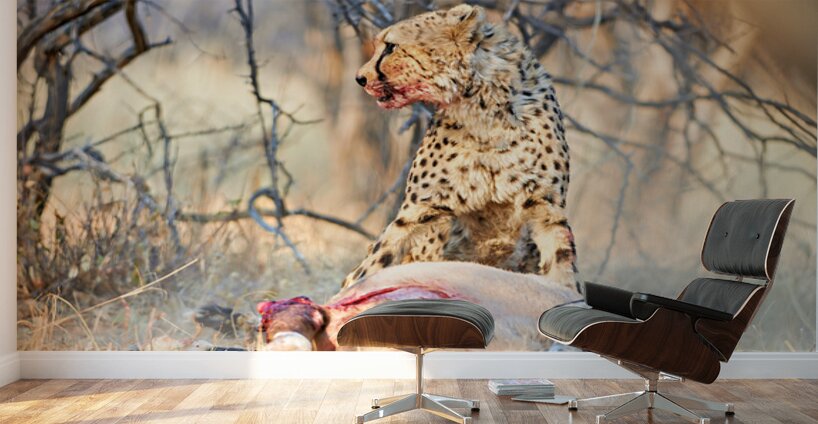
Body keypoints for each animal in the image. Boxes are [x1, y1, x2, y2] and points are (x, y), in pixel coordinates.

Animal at [341, 4, 578, 291]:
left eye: (391, 47)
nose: (360, 78)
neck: (484, 110)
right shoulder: (420, 206)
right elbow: (373, 262)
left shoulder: (546, 207)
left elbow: (563, 266)